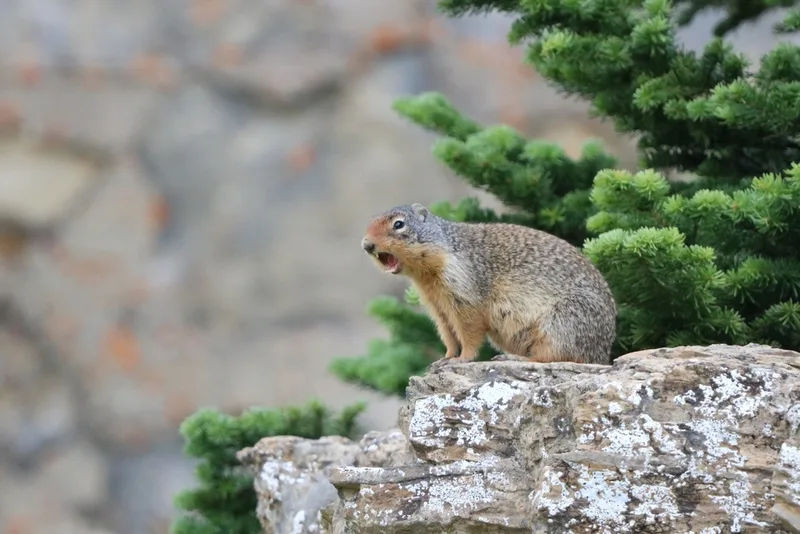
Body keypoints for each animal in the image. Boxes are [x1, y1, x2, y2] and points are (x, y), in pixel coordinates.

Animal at [360, 203, 617, 365]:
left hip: (562, 322)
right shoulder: (436, 305)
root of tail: (602, 354)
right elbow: (447, 333)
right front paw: (444, 358)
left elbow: (469, 328)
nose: (366, 244)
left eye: (398, 224)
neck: (426, 275)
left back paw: (515, 358)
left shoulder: (462, 289)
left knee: (554, 356)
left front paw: (462, 358)